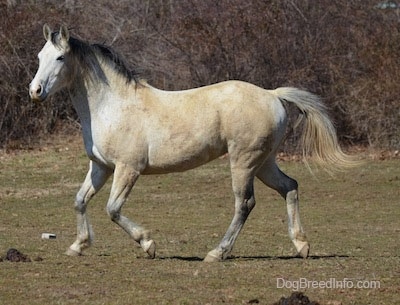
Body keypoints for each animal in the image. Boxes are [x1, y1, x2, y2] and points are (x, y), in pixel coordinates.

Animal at [28, 24, 354, 262]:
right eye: (40, 57)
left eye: (60, 58)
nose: (35, 90)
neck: (112, 105)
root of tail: (272, 95)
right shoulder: (101, 167)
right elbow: (80, 200)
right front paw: (78, 246)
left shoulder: (128, 168)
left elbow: (113, 209)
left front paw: (148, 244)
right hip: (264, 162)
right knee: (290, 187)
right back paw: (301, 246)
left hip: (244, 161)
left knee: (245, 203)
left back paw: (217, 253)